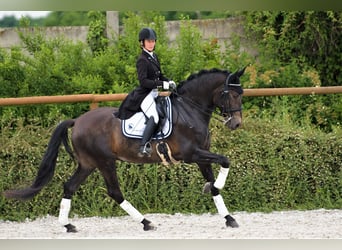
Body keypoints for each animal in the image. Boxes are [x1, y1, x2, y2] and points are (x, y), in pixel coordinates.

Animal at [3, 68, 246, 232]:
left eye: (241, 94)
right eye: (230, 94)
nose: (235, 124)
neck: (190, 110)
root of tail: (78, 121)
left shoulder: (202, 156)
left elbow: (215, 183)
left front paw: (228, 216)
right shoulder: (191, 154)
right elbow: (225, 161)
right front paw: (214, 188)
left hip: (88, 164)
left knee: (70, 186)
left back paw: (68, 225)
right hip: (104, 162)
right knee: (114, 192)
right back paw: (146, 222)